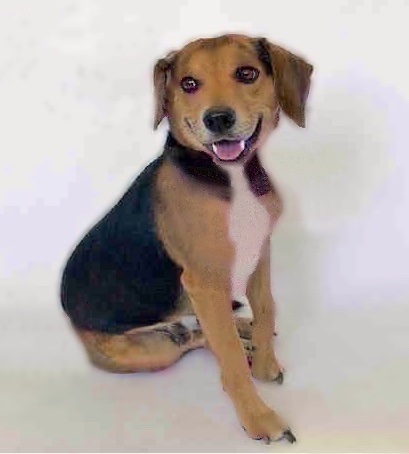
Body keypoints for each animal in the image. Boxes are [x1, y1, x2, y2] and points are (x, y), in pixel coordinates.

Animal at [61, 34, 312, 444]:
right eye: (189, 84)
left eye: (247, 73)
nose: (218, 119)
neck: (231, 177)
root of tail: (71, 318)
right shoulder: (204, 281)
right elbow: (228, 355)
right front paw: (258, 416)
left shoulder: (260, 252)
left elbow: (266, 309)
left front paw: (264, 362)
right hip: (153, 348)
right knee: (196, 338)